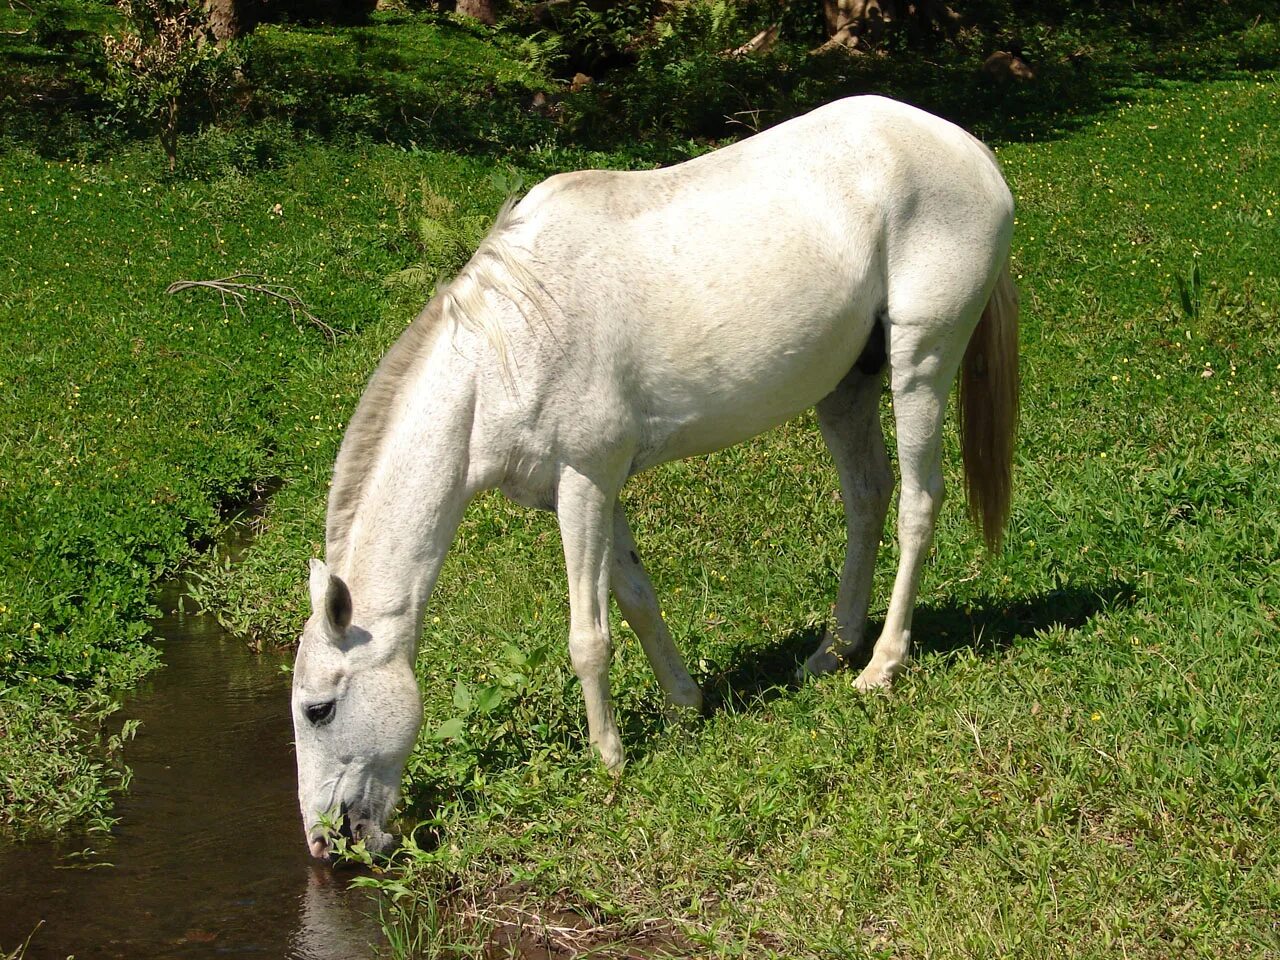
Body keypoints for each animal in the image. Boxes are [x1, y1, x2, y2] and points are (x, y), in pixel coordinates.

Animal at [290, 96, 1018, 865]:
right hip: (847, 386)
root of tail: (970, 149)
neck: (507, 350)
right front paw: (684, 704)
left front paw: (609, 760)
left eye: (319, 709)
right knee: (866, 498)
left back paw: (880, 666)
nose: (325, 843)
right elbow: (636, 599)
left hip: (921, 364)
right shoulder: (586, 491)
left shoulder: (584, 483)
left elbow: (589, 635)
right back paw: (831, 651)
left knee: (916, 505)